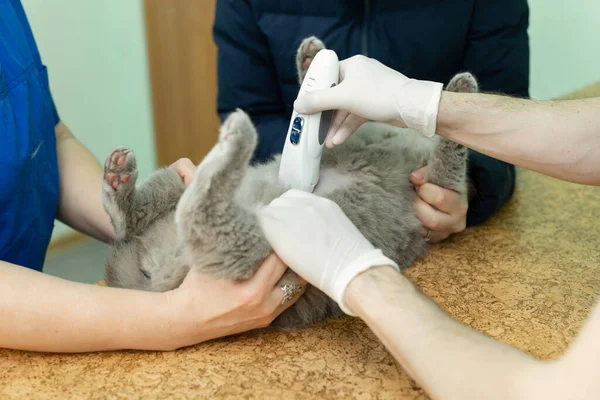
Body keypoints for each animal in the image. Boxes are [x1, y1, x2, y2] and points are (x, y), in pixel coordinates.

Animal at [103, 35, 478, 328]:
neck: (391, 139)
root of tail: (154, 279)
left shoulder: (436, 184)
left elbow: (451, 154)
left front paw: (458, 97)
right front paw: (313, 62)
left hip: (255, 247)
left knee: (198, 215)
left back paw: (232, 141)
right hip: (185, 185)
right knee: (142, 217)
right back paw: (123, 182)